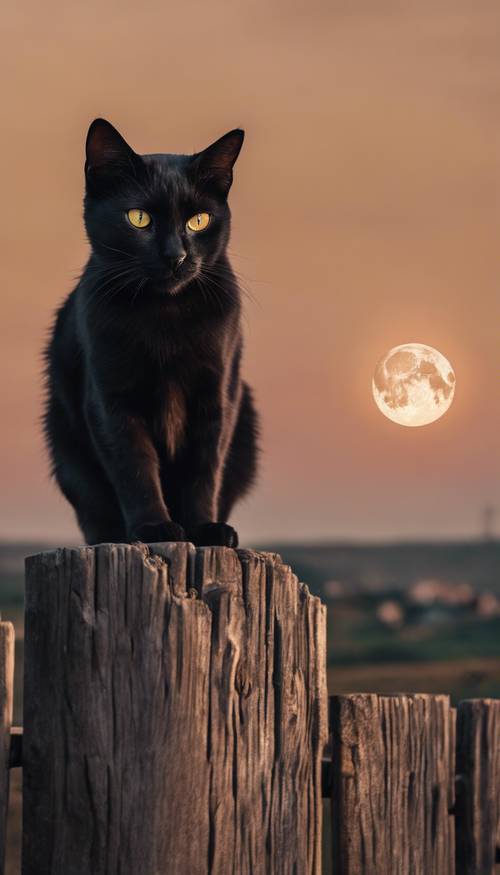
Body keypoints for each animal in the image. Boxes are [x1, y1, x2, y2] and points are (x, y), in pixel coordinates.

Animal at [42, 119, 260, 548]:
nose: (176, 256)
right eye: (139, 218)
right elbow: (136, 467)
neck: (164, 314)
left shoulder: (216, 395)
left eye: (198, 220)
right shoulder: (111, 400)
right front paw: (154, 528)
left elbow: (204, 469)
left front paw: (204, 529)